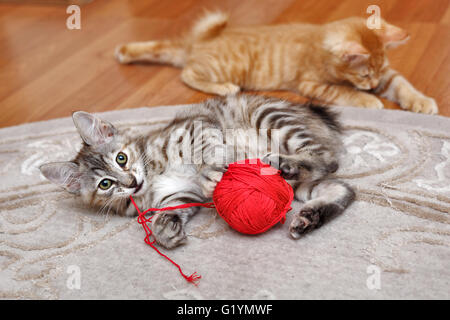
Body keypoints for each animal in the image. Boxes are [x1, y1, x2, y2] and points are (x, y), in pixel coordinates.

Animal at [40, 94, 354, 249]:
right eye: (105, 184)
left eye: (121, 158)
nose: (130, 181)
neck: (151, 177)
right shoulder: (177, 194)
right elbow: (171, 211)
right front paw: (165, 231)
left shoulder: (196, 127)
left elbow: (209, 152)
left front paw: (211, 173)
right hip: (299, 185)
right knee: (344, 189)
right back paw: (308, 218)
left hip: (271, 119)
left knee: (327, 159)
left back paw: (284, 162)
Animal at [115, 12, 436, 115]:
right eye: (365, 74)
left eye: (376, 73)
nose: (372, 85)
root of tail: (202, 40)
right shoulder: (312, 84)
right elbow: (344, 91)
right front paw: (368, 100)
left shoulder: (389, 76)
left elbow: (403, 84)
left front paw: (420, 101)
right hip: (226, 68)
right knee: (187, 73)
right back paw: (224, 88)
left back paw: (124, 51)